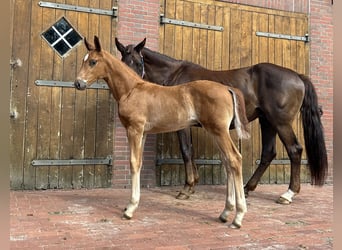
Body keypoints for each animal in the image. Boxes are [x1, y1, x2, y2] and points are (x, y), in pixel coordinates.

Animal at [75, 35, 250, 229]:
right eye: (84, 60)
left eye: (92, 61)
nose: (78, 83)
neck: (131, 89)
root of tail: (227, 88)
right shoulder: (143, 132)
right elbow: (139, 163)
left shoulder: (134, 129)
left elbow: (133, 162)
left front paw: (130, 208)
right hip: (215, 132)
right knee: (227, 162)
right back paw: (225, 212)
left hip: (219, 131)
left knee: (235, 159)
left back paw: (238, 217)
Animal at [115, 37, 328, 205]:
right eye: (123, 60)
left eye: (138, 62)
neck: (174, 76)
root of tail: (297, 76)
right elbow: (190, 151)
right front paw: (193, 185)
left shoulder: (182, 126)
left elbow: (185, 151)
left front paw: (186, 188)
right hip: (267, 122)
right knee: (268, 153)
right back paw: (247, 188)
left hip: (280, 122)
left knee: (294, 150)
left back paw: (288, 194)